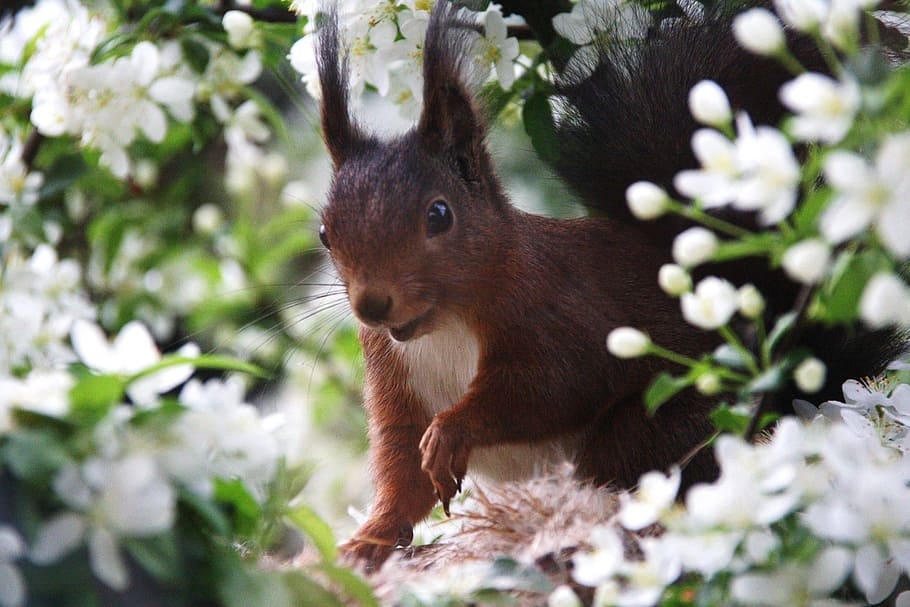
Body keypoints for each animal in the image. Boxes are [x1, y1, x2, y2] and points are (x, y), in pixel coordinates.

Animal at [313, 1, 902, 569]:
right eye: (324, 232)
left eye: (439, 215)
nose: (372, 305)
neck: (446, 324)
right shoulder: (391, 369)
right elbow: (401, 468)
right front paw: (370, 539)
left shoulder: (553, 309)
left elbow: (548, 387)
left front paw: (450, 433)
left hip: (666, 421)